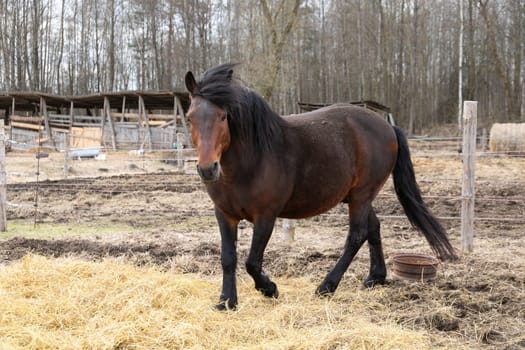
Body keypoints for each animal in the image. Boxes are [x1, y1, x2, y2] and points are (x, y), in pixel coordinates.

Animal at [184, 63, 454, 308]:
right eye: (189, 118)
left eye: (223, 116)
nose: (207, 168)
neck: (250, 161)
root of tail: (387, 126)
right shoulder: (224, 214)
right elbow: (228, 258)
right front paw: (226, 301)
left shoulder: (266, 217)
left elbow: (252, 262)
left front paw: (270, 289)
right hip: (360, 197)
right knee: (374, 228)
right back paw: (375, 278)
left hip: (361, 195)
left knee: (357, 235)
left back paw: (327, 286)